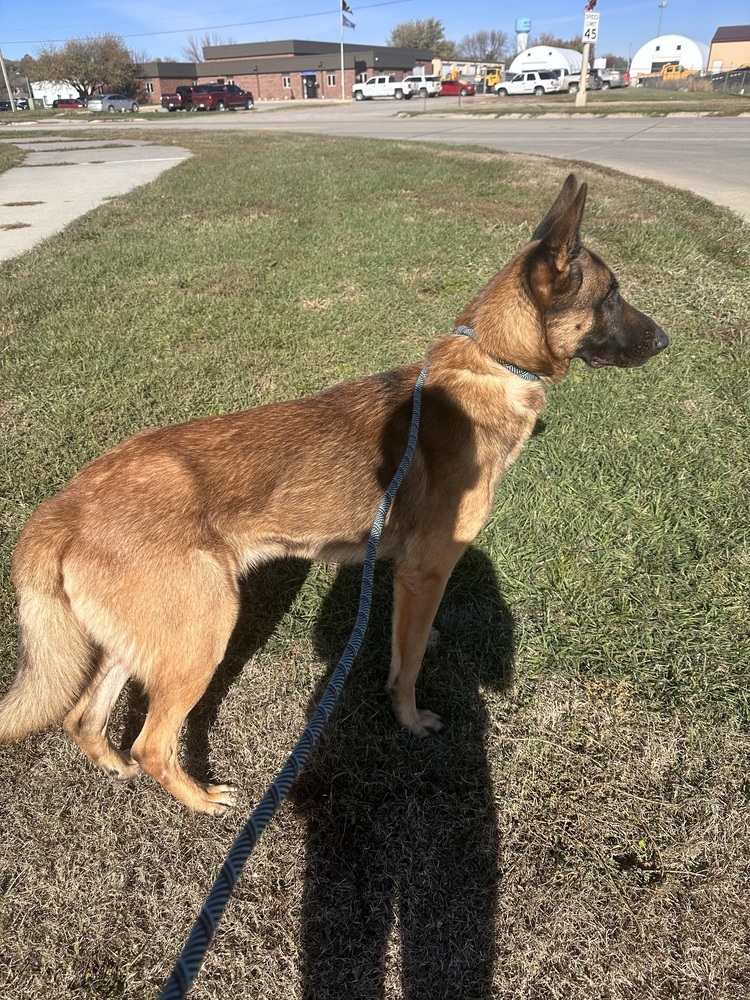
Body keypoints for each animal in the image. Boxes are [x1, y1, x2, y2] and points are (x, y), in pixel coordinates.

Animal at [0, 172, 668, 812]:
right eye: (611, 297)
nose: (665, 341)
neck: (494, 361)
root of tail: (63, 507)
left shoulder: (404, 574)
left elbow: (408, 641)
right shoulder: (427, 569)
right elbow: (407, 667)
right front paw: (410, 721)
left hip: (149, 638)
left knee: (82, 719)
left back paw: (113, 766)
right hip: (204, 632)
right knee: (153, 744)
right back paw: (201, 801)